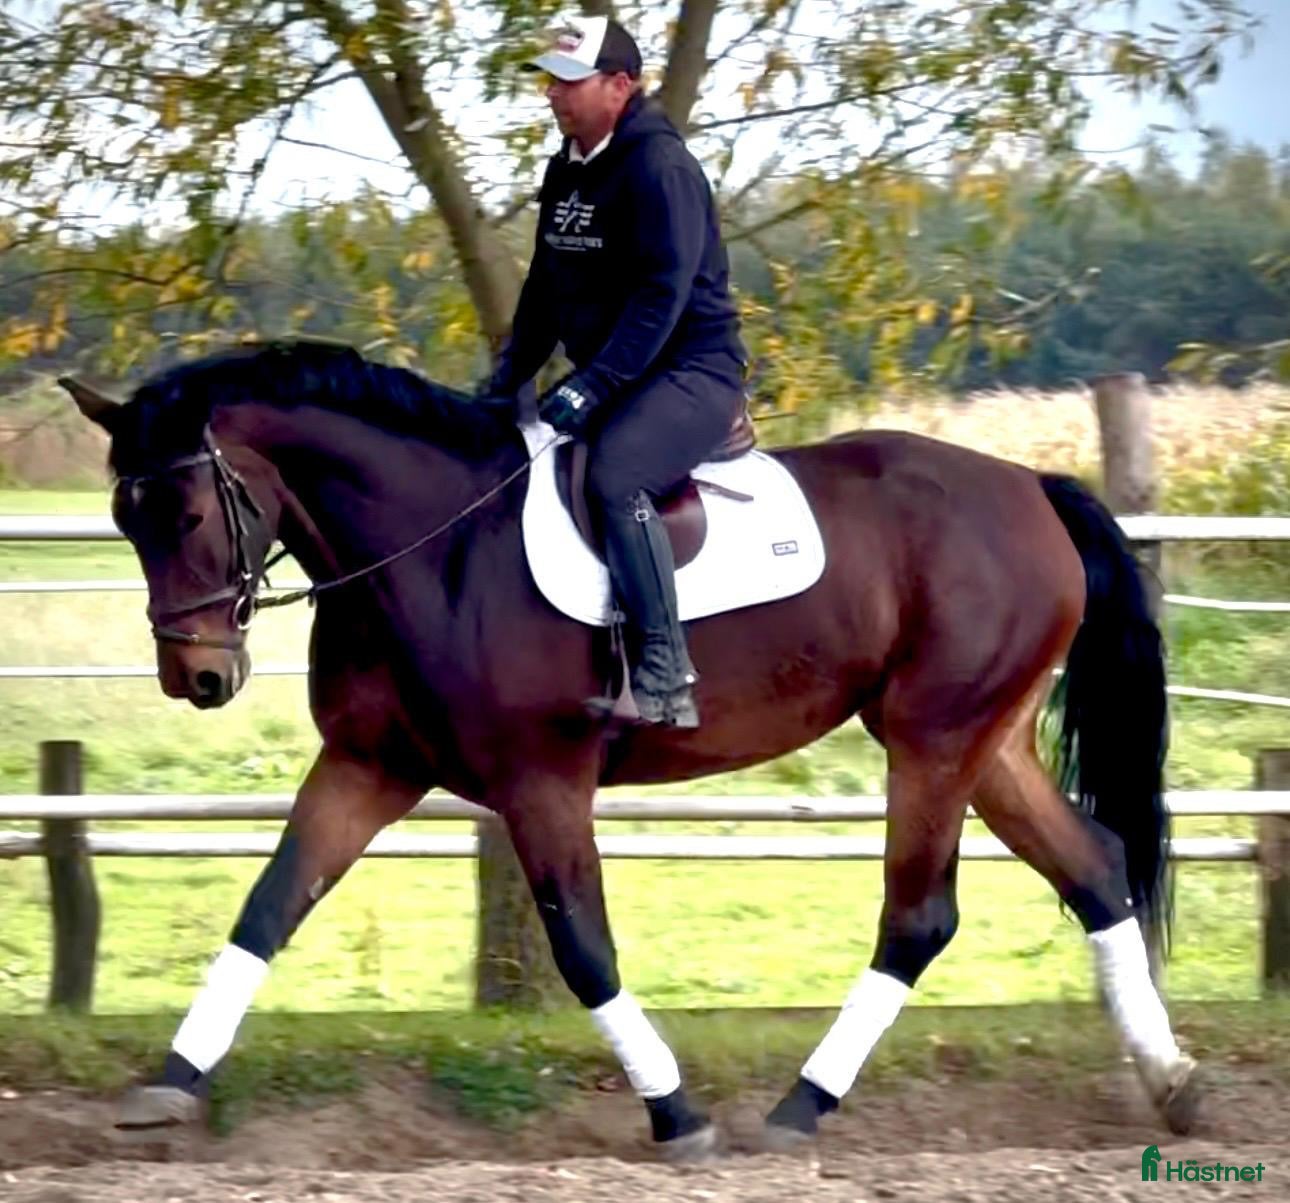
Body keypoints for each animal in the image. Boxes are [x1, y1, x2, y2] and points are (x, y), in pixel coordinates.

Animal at [61, 339, 1199, 1158]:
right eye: (125, 517)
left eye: (188, 511)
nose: (198, 678)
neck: (437, 550)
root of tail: (1032, 487)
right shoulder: (370, 768)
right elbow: (267, 909)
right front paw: (166, 1086)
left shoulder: (540, 781)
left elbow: (583, 946)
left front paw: (677, 1114)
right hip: (983, 741)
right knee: (1094, 867)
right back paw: (1173, 1083)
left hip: (933, 739)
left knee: (919, 916)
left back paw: (799, 1108)